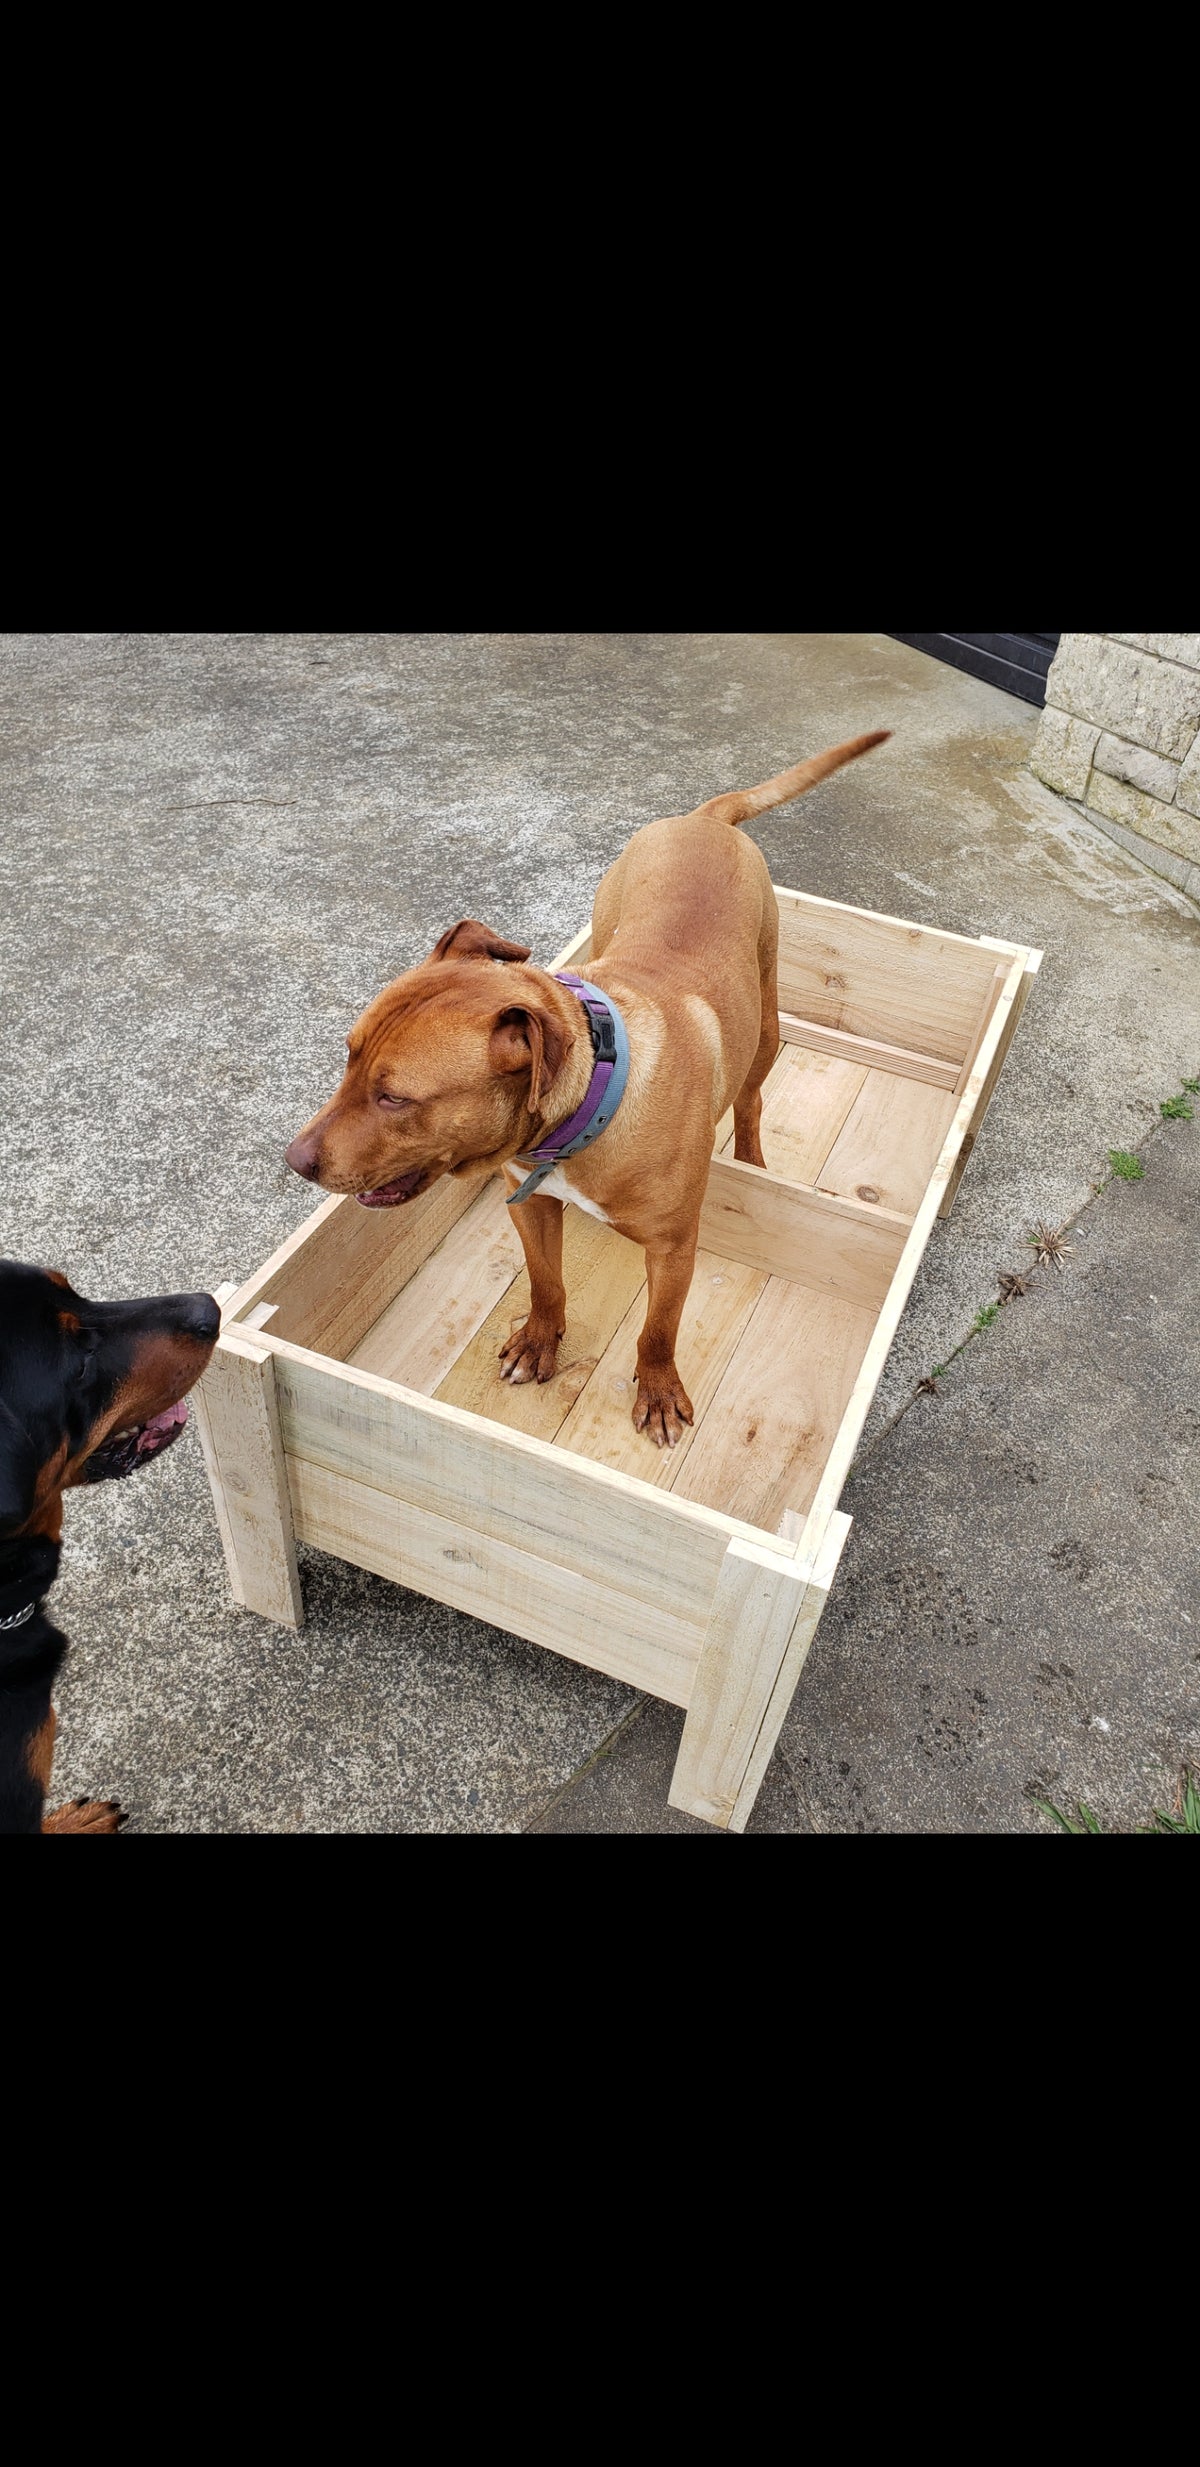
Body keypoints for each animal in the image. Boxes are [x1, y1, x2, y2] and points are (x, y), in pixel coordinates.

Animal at [288, 740, 888, 1450]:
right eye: (349, 1057)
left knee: (751, 1097)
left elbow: (658, 1330)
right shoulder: (531, 1204)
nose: (294, 1161)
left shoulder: (673, 1249)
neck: (586, 1112)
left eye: (395, 1098)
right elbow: (546, 1282)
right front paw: (538, 1343)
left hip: (765, 1019)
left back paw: (751, 1155)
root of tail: (704, 819)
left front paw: (658, 1390)